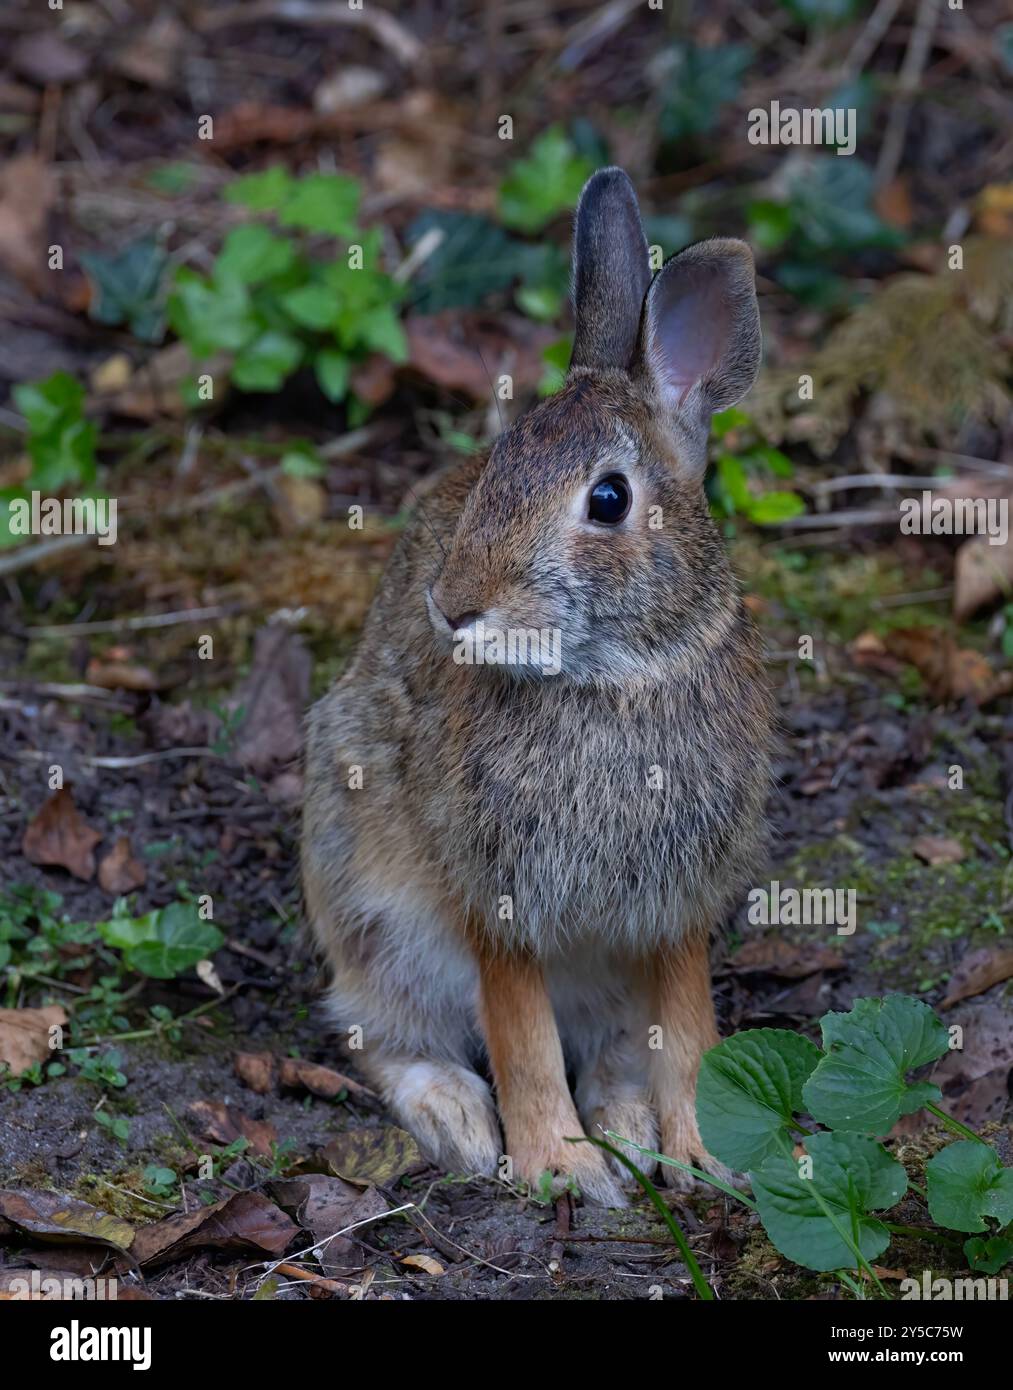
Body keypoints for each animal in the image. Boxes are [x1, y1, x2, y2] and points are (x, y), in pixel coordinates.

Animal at [302, 167, 773, 1206]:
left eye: (607, 498)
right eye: (498, 462)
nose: (452, 607)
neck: (613, 678)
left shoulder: (676, 903)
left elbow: (689, 1030)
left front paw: (704, 1154)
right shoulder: (493, 894)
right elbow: (520, 1036)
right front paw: (556, 1166)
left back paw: (630, 1128)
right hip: (368, 904)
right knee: (380, 1031)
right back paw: (460, 1121)